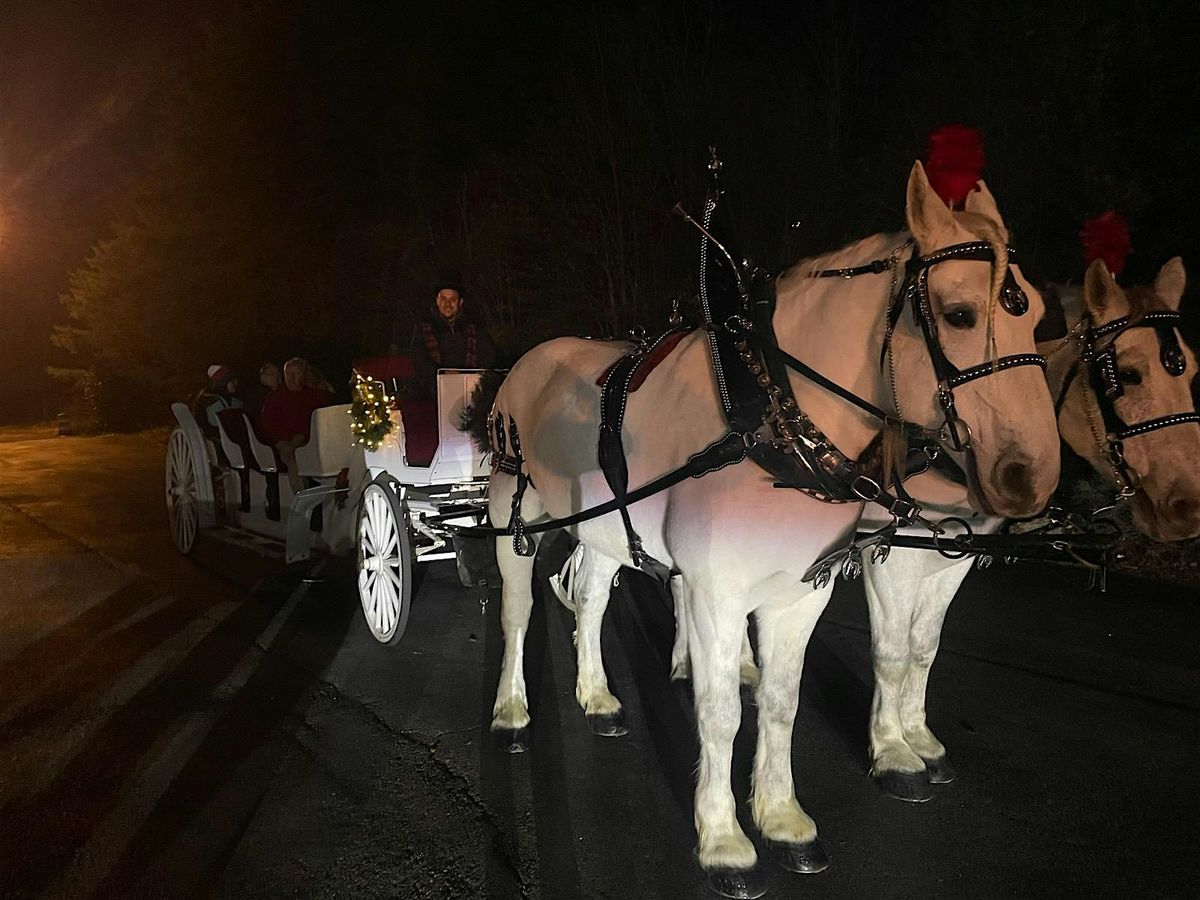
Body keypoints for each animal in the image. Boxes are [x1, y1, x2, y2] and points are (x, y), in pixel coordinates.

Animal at [482, 162, 1056, 897]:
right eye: (960, 314)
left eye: (1035, 313)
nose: (1031, 475)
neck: (772, 423)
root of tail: (526, 362)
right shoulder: (718, 595)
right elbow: (721, 712)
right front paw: (724, 840)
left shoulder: (802, 592)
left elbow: (781, 703)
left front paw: (782, 819)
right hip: (511, 513)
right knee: (518, 612)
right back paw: (512, 712)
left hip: (608, 528)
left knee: (593, 599)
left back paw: (598, 696)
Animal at [854, 256, 1200, 801]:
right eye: (1128, 374)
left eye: (1193, 371)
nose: (1189, 507)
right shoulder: (887, 552)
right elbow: (892, 651)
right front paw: (891, 751)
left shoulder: (951, 555)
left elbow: (924, 647)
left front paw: (919, 738)